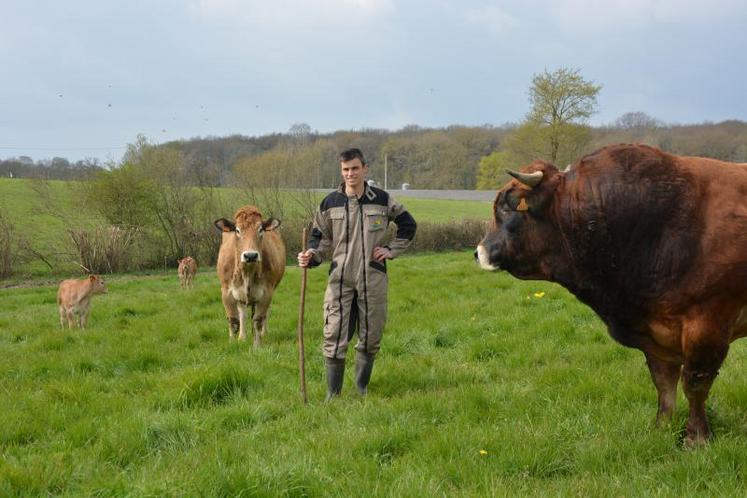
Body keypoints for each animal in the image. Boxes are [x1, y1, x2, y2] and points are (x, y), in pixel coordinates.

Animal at [216, 205, 290, 346]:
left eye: (260, 230)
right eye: (237, 230)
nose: (250, 255)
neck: (247, 272)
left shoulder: (267, 292)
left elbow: (258, 320)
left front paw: (257, 345)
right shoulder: (226, 292)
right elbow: (233, 320)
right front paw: (232, 344)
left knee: (265, 313)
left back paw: (264, 333)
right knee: (242, 313)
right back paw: (242, 337)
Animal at [476, 143, 747, 444]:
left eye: (506, 208)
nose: (479, 252)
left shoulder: (709, 321)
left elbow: (696, 383)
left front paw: (696, 437)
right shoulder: (654, 330)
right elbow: (664, 383)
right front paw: (661, 428)